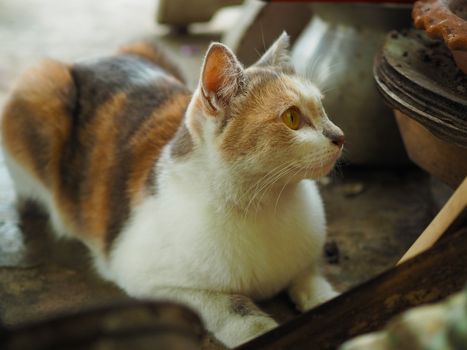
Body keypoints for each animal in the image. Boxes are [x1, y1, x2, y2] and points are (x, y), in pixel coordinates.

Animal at [0, 32, 344, 348]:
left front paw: (325, 302)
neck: (268, 202)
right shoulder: (149, 278)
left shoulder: (302, 260)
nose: (339, 136)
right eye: (292, 118)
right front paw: (261, 329)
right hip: (39, 91)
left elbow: (314, 283)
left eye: (322, 108)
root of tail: (87, 59)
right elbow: (230, 308)